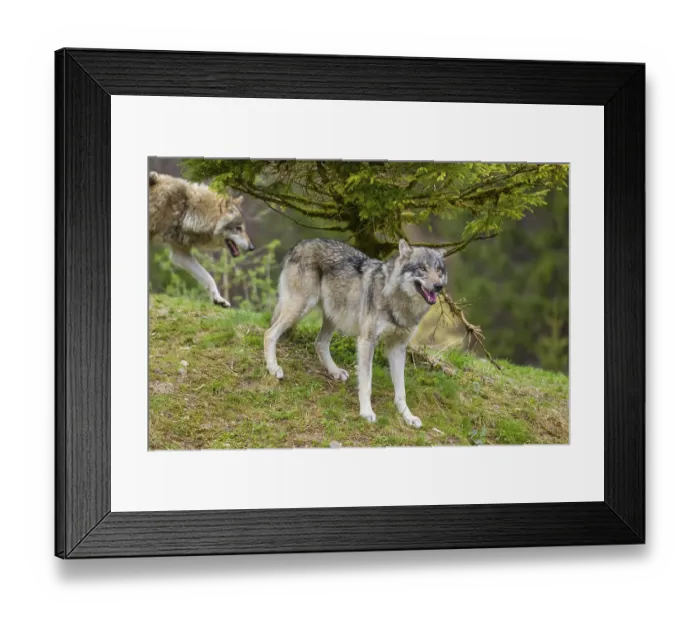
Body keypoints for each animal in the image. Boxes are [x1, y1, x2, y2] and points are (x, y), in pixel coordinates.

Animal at [148, 172, 255, 307]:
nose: (252, 248)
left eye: (242, 228)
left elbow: (208, 277)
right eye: (238, 228)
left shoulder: (180, 253)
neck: (186, 210)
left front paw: (218, 299)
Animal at [264, 238, 447, 428]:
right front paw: (366, 412)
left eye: (439, 270)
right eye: (422, 268)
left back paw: (335, 371)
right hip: (301, 308)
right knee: (269, 333)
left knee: (319, 343)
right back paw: (273, 368)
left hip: (333, 315)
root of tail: (300, 244)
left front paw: (408, 416)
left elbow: (401, 390)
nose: (438, 286)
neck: (397, 301)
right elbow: (366, 382)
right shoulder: (367, 341)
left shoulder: (397, 347)